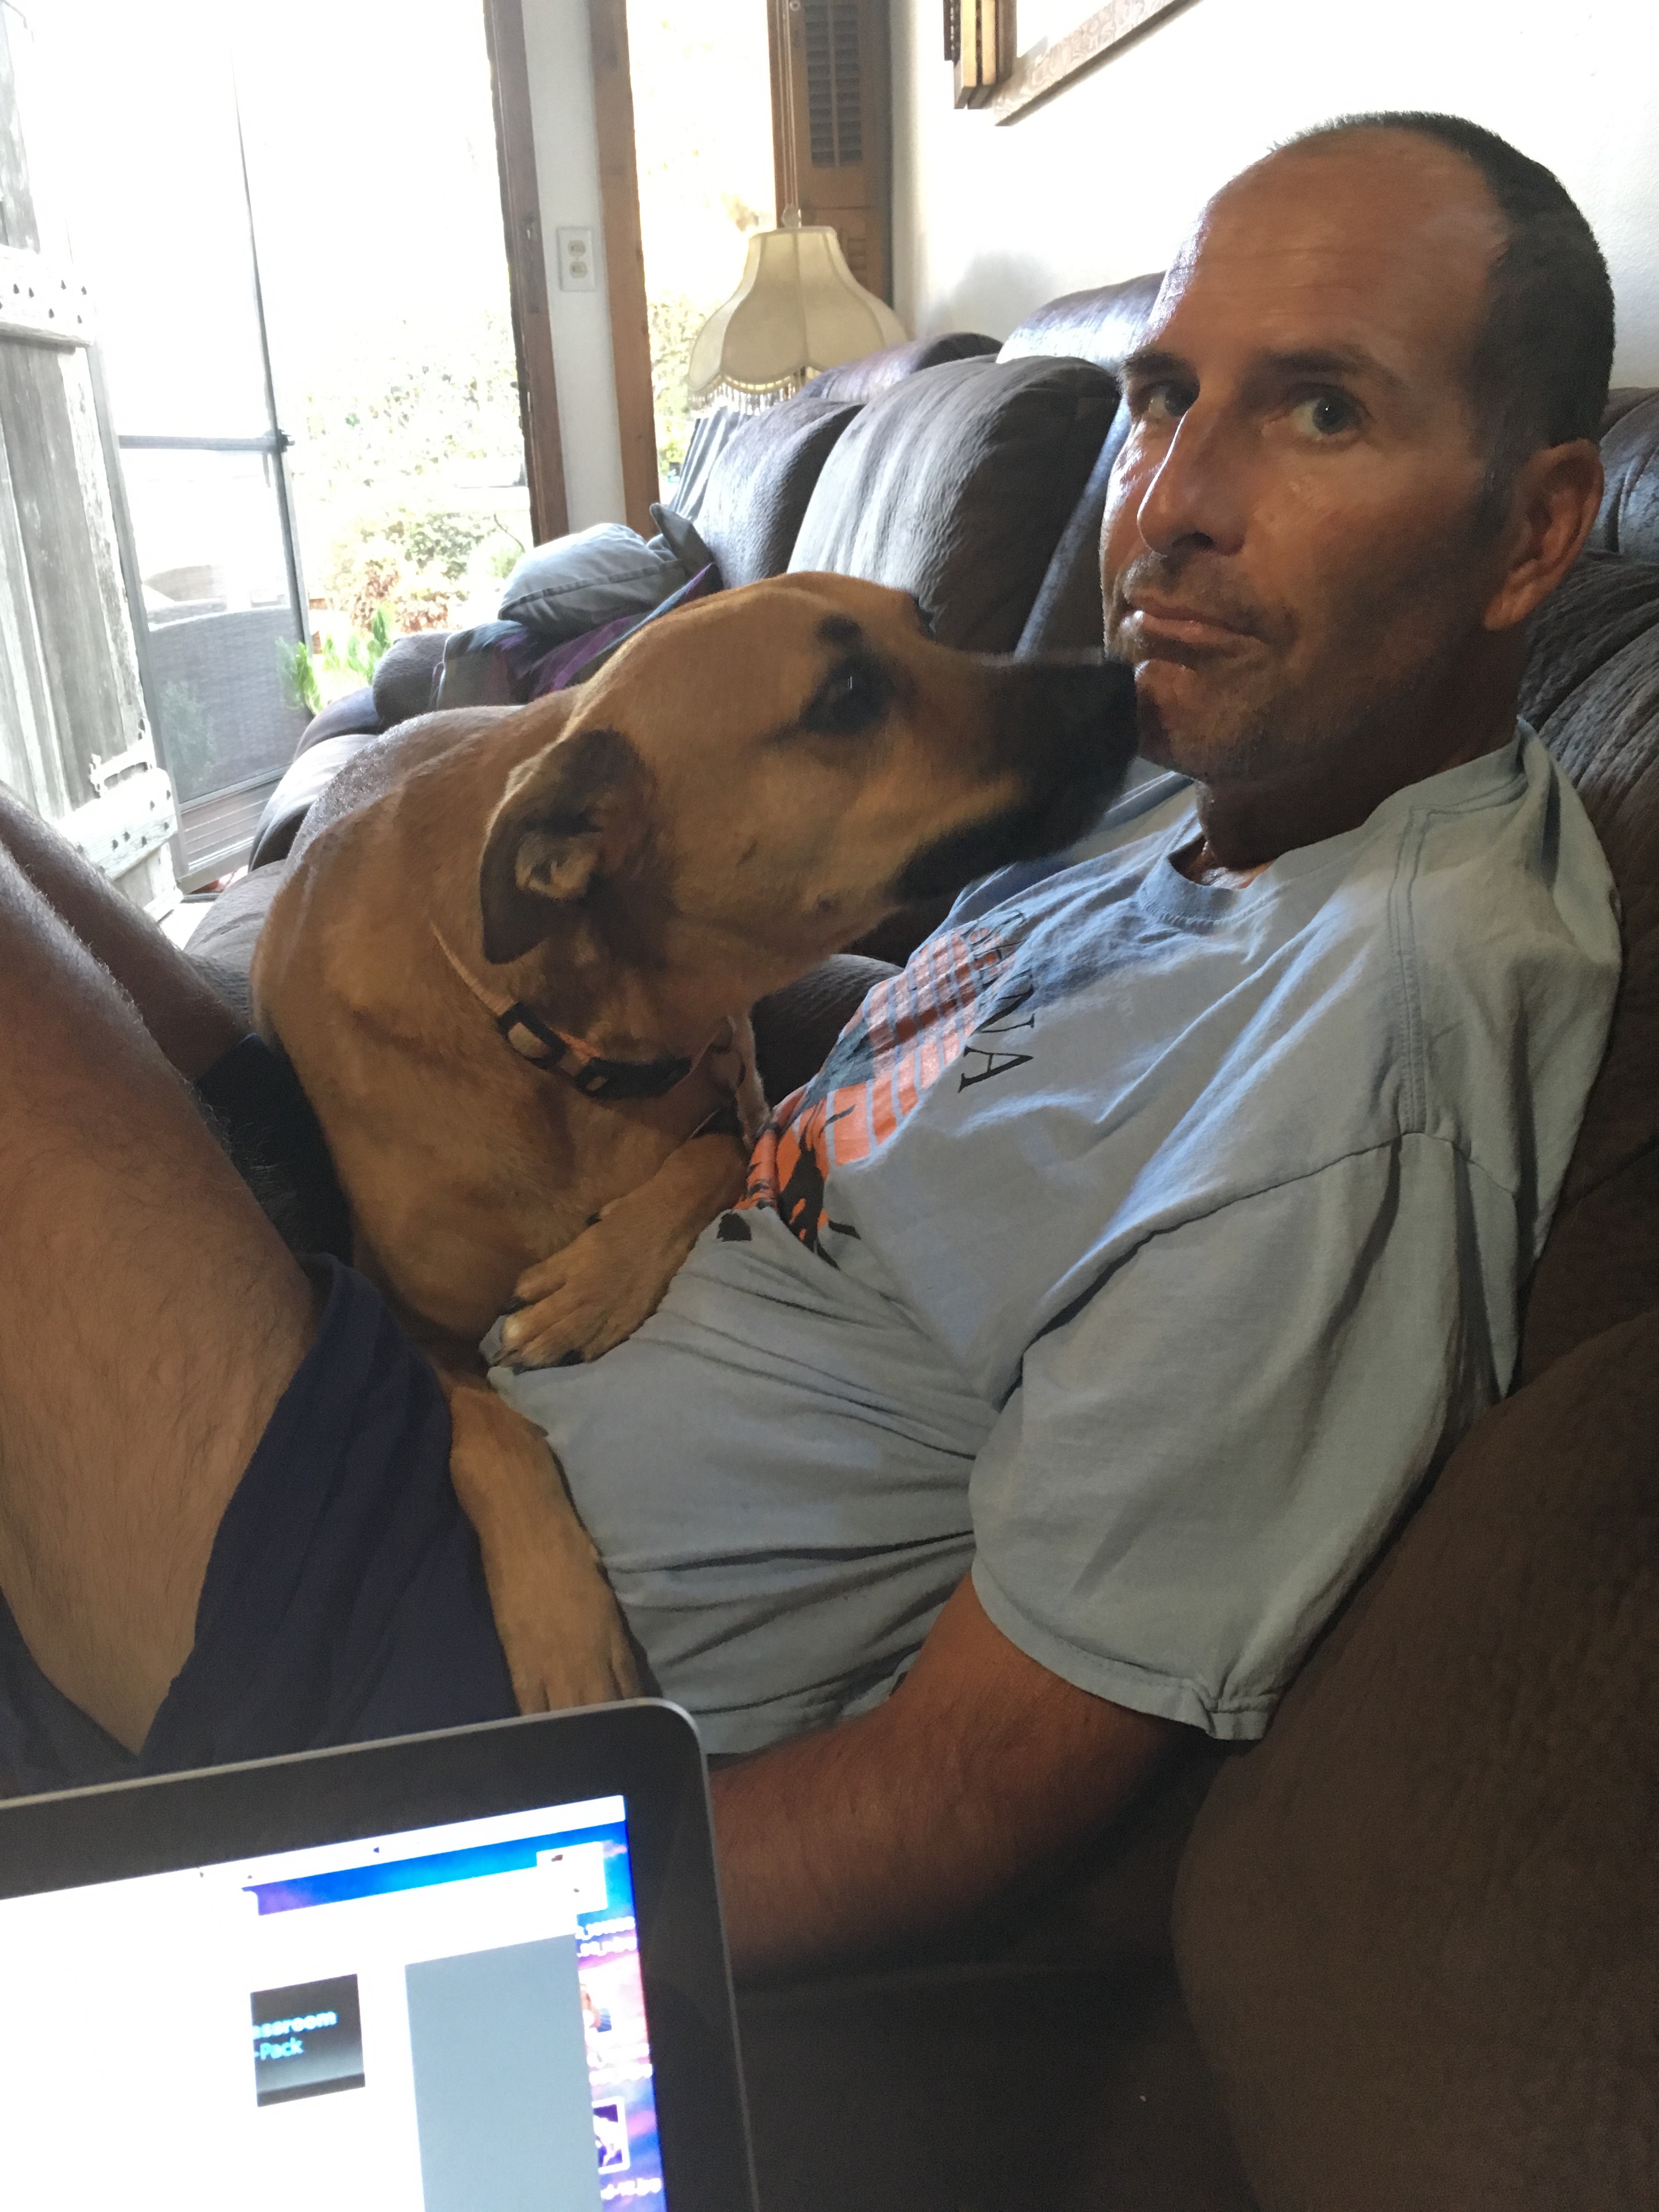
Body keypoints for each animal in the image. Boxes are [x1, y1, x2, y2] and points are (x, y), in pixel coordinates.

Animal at [252, 574, 1136, 1712]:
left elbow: (712, 1156)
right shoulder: (405, 1318)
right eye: (847, 697)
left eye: (927, 625)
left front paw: (591, 1286)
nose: (1121, 678)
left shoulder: (735, 1091)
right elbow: (487, 1430)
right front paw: (560, 1621)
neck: (555, 1035)